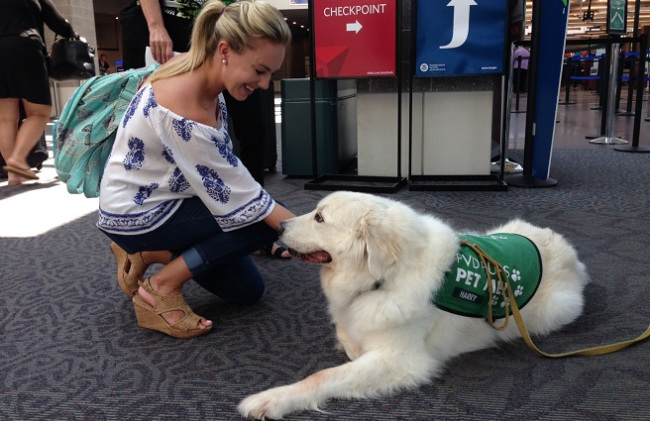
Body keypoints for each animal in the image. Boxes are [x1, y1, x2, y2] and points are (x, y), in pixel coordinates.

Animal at [237, 192, 588, 418]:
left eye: (320, 217)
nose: (279, 227)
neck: (383, 279)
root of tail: (568, 250)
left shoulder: (401, 360)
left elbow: (322, 376)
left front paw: (269, 400)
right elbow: (345, 332)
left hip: (553, 311)